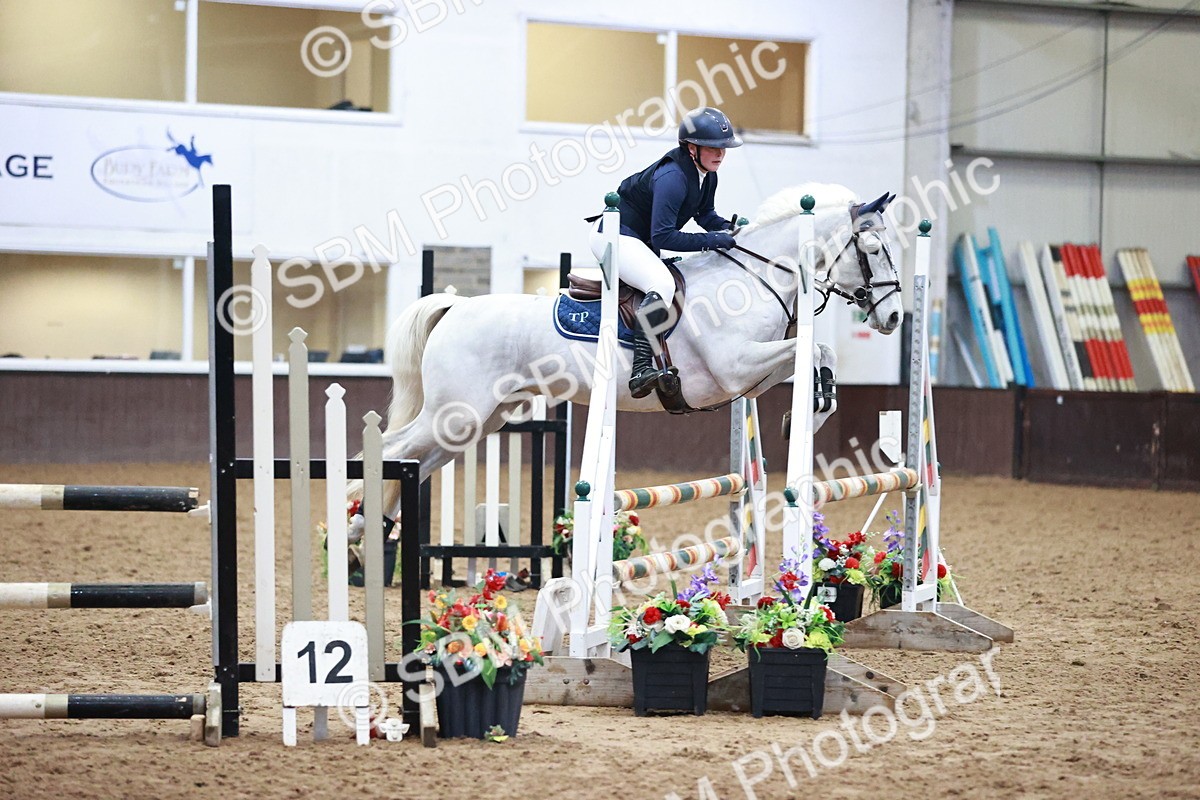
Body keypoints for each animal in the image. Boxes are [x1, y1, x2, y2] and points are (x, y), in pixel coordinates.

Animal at [364, 183, 902, 518]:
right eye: (873, 250)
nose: (894, 317)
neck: (754, 275)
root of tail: (455, 306)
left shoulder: (749, 377)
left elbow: (820, 352)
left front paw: (808, 414)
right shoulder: (734, 367)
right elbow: (812, 352)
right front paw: (808, 414)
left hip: (477, 419)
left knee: (419, 462)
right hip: (455, 412)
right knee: (391, 449)